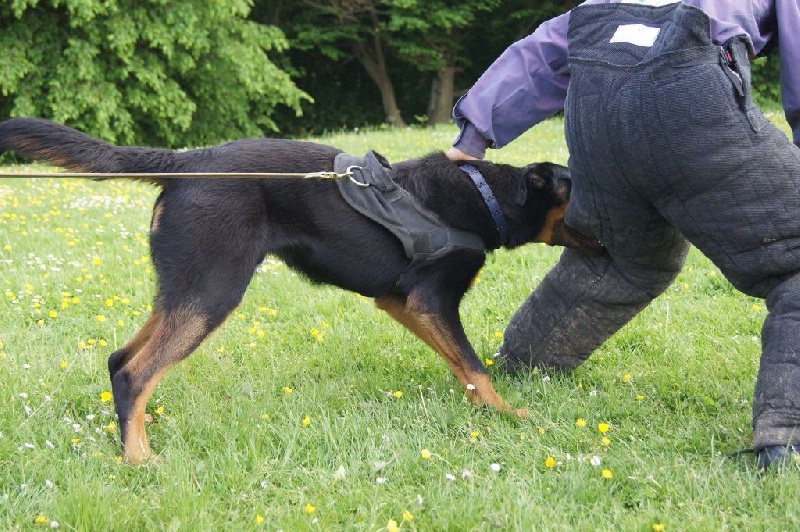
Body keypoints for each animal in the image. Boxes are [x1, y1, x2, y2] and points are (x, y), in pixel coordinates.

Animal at [0, 118, 600, 464]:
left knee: (120, 358)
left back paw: (136, 435)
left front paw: (483, 413)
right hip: (213, 289)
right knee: (134, 372)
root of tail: (185, 161)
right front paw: (509, 415)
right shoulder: (431, 300)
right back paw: (138, 459)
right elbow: (475, 363)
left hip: (184, 287)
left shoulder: (403, 302)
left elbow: (463, 367)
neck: (486, 194)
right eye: (579, 186)